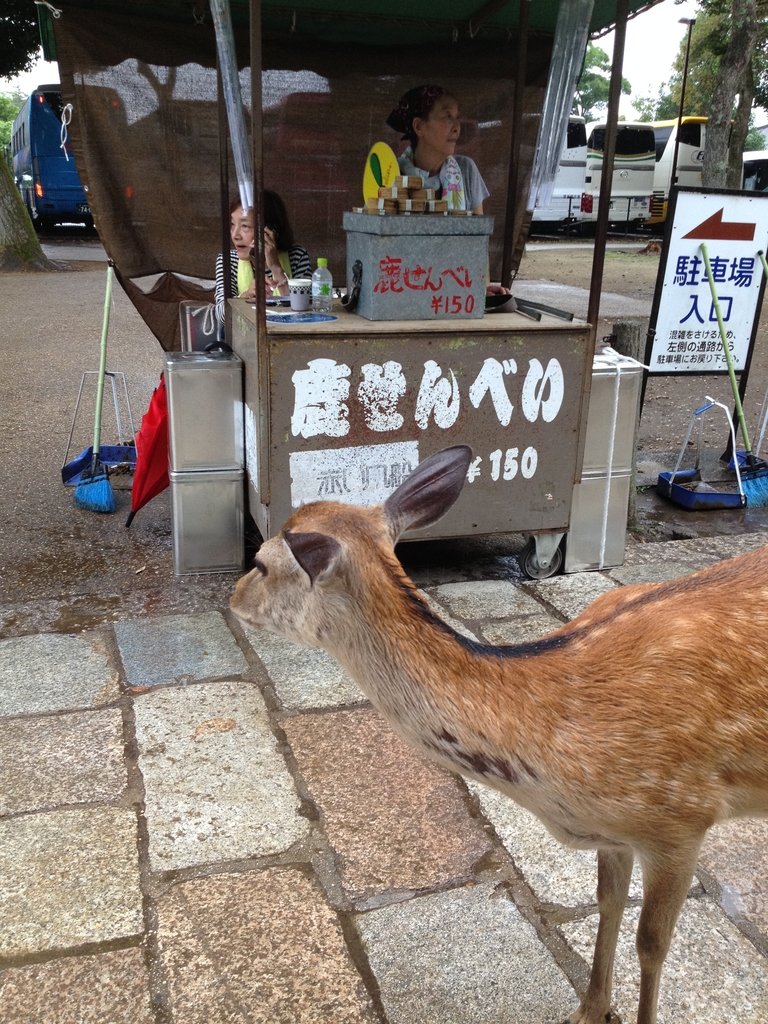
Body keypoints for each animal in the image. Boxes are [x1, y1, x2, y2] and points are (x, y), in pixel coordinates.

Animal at [231, 444, 768, 1024]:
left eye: (261, 562)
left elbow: (652, 943)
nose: (232, 595)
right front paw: (588, 1010)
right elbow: (606, 902)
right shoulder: (614, 835)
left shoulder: (682, 820)